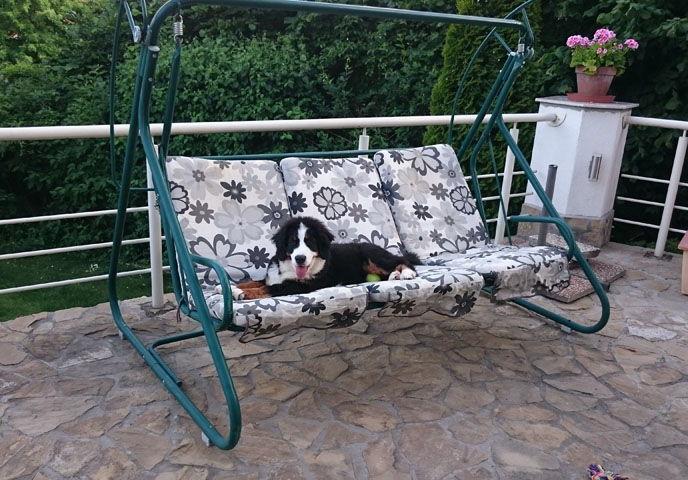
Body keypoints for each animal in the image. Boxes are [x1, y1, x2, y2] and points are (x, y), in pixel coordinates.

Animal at [225, 216, 420, 300]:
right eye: (293, 241)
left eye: (310, 242)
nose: (300, 258)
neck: (289, 268)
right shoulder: (271, 277)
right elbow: (253, 282)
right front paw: (228, 288)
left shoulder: (299, 286)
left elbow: (267, 288)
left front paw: (240, 293)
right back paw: (394, 276)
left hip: (372, 258)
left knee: (402, 261)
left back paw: (406, 273)